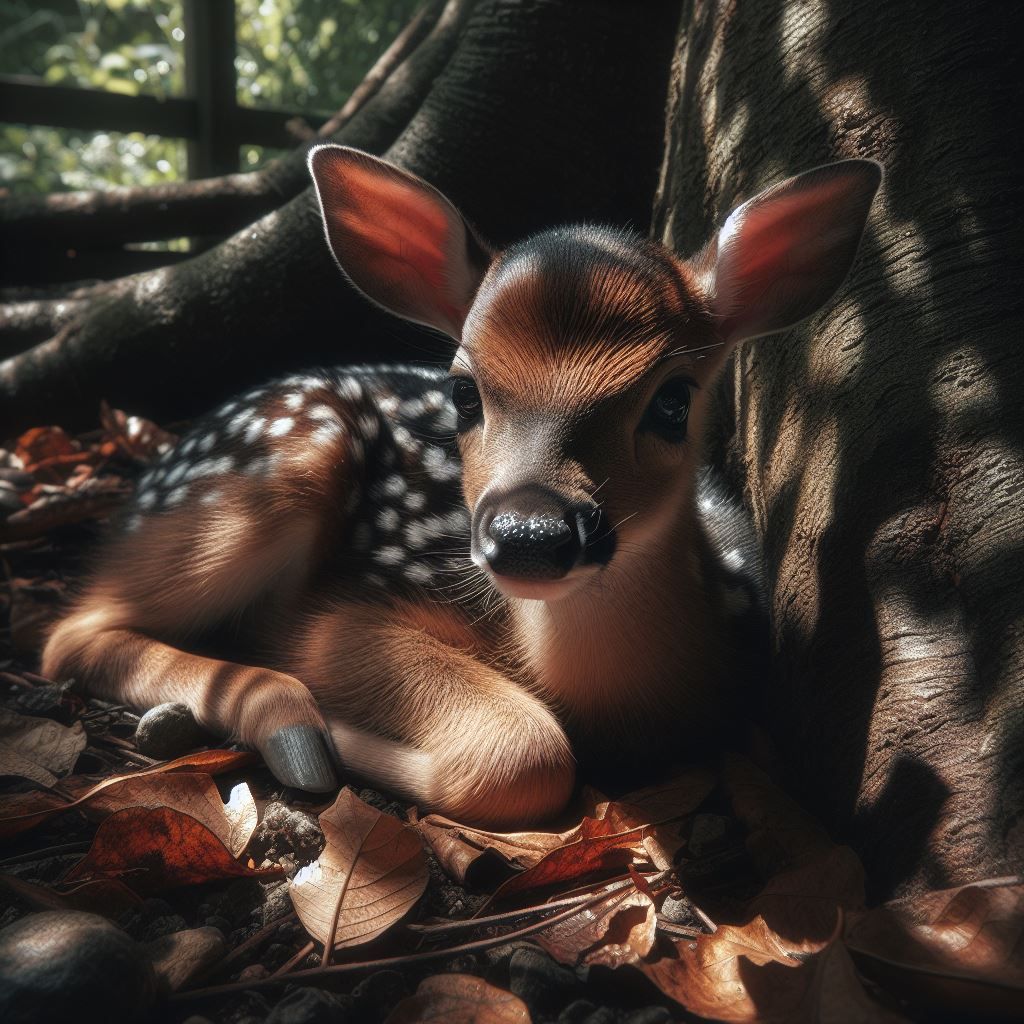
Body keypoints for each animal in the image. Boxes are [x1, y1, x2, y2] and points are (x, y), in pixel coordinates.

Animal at [41, 148, 881, 828]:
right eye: (464, 392)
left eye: (674, 400)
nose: (530, 535)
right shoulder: (332, 615)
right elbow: (530, 754)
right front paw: (342, 735)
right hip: (280, 465)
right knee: (70, 632)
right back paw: (293, 728)